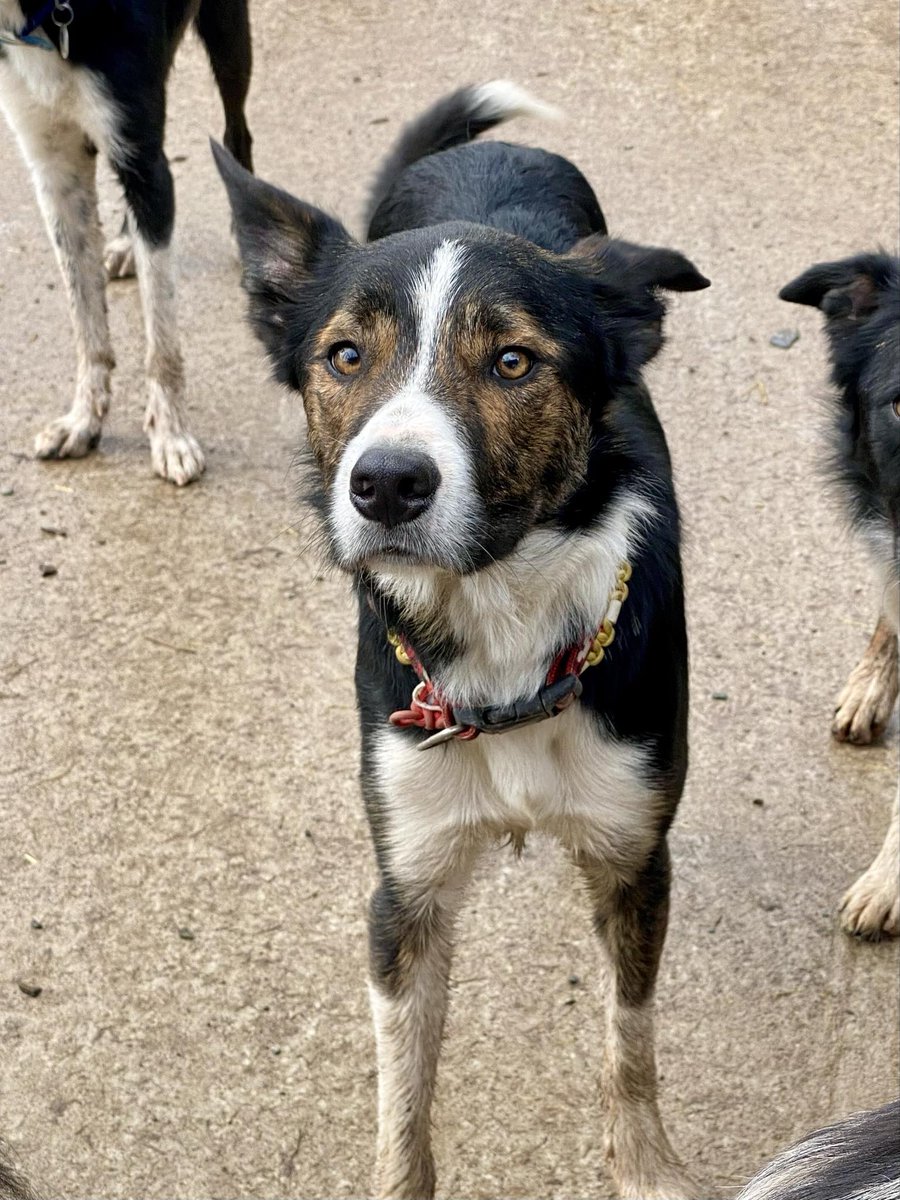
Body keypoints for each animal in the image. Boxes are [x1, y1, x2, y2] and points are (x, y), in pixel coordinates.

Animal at [0, 5, 254, 482]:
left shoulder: (140, 155)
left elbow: (161, 334)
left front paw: (171, 437)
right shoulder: (55, 169)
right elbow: (86, 321)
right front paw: (82, 421)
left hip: (229, 41)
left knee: (238, 131)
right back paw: (124, 242)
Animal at [217, 79, 710, 1195]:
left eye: (514, 361)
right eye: (345, 356)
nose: (388, 484)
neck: (502, 636)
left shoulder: (633, 854)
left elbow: (631, 1033)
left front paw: (645, 1165)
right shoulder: (408, 883)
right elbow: (404, 1100)